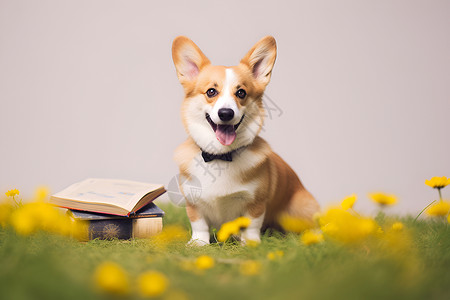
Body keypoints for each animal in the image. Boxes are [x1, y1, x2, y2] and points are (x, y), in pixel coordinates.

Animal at [171, 35, 318, 246]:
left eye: (241, 93)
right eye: (211, 92)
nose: (226, 113)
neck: (220, 156)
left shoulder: (255, 203)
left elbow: (251, 225)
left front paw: (250, 243)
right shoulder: (193, 202)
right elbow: (199, 224)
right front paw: (198, 243)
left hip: (299, 209)